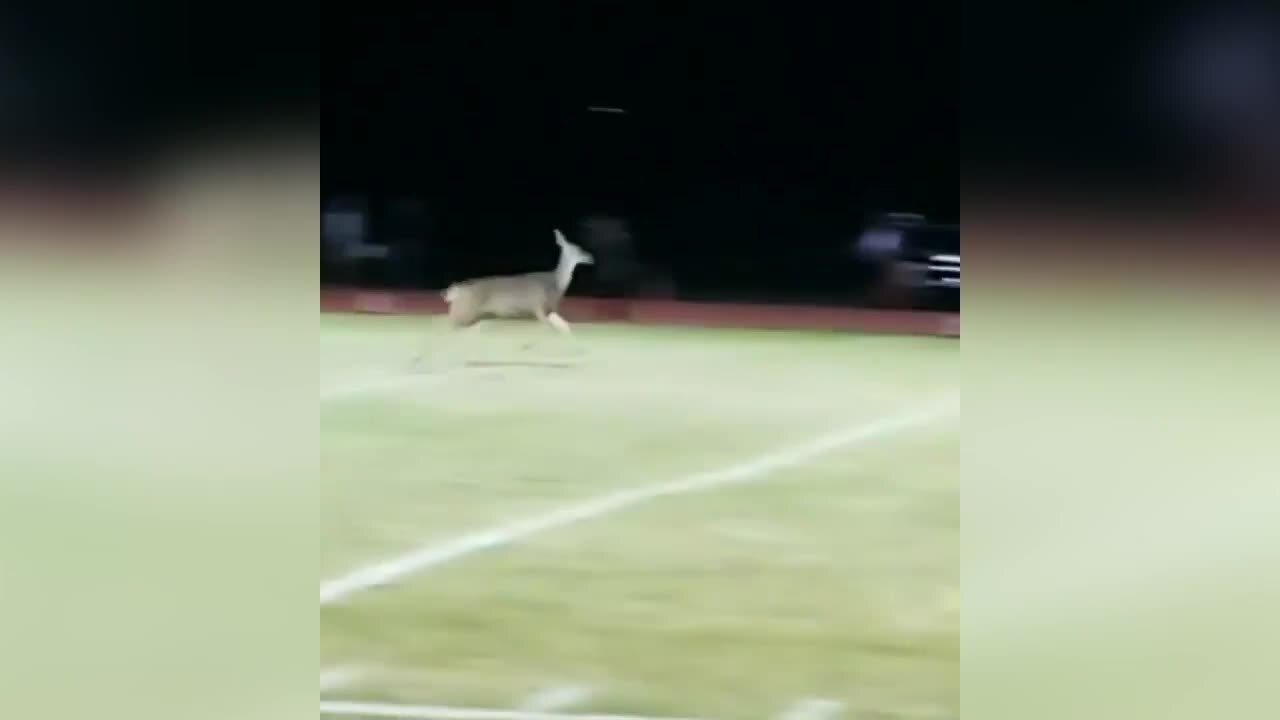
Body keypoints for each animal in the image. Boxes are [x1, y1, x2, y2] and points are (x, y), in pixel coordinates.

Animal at [413, 228, 595, 368]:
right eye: (577, 248)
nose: (590, 257)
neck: (555, 284)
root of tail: (455, 291)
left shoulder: (544, 312)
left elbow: (564, 327)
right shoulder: (539, 309)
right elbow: (553, 329)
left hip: (463, 314)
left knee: (442, 325)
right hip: (464, 312)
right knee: (443, 328)